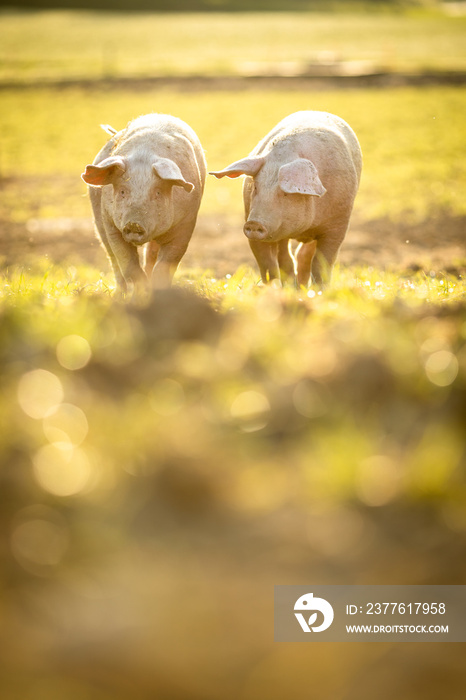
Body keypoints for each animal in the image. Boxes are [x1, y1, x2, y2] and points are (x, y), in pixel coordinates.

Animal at [81, 113, 206, 292]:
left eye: (158, 192)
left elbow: (165, 266)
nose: (134, 224)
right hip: (98, 220)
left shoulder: (185, 225)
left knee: (150, 255)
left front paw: (157, 290)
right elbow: (128, 264)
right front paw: (141, 291)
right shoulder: (111, 223)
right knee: (113, 260)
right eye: (123, 191)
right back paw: (119, 295)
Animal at [209, 110, 362, 286]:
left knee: (303, 255)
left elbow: (322, 263)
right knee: (290, 257)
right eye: (256, 187)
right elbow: (269, 264)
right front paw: (276, 288)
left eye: (285, 193)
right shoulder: (252, 218)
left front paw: (320, 289)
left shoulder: (338, 224)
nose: (254, 223)